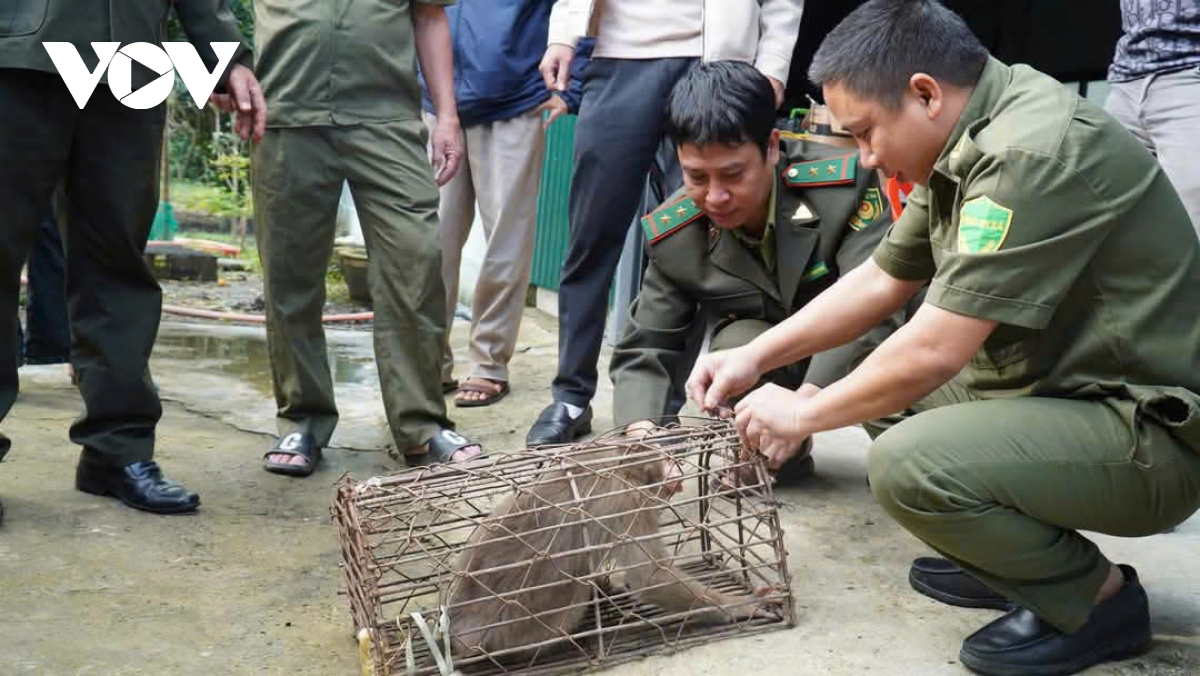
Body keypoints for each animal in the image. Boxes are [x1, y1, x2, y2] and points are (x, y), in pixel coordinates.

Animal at [444, 444, 777, 662]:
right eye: (667, 460)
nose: (676, 465)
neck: (620, 464)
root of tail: (458, 631)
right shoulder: (630, 499)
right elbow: (650, 577)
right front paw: (738, 605)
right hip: (518, 634)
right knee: (574, 594)